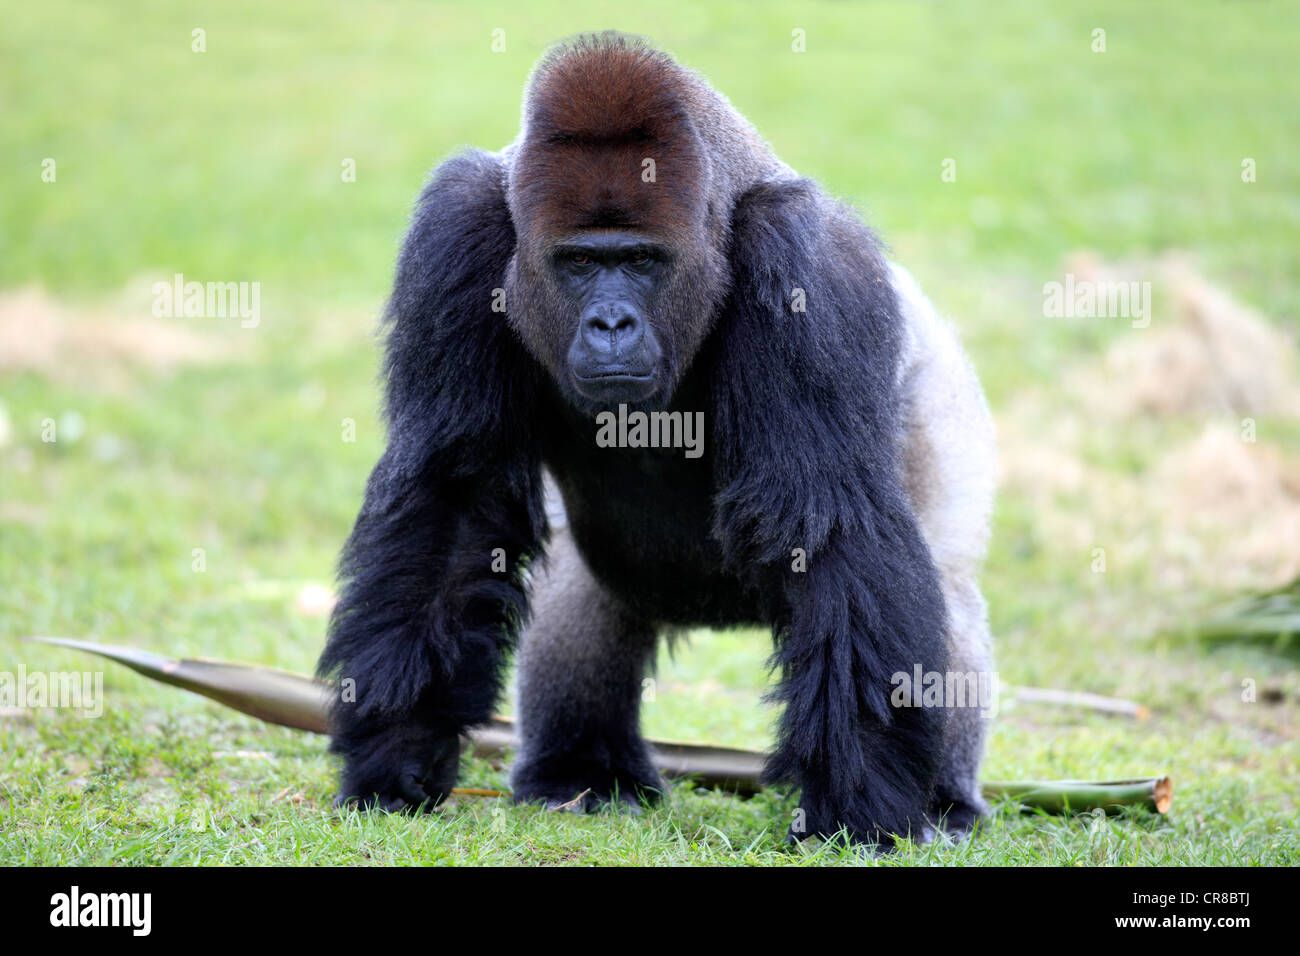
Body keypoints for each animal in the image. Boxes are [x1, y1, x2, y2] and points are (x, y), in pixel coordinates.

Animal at [317, 32, 996, 850]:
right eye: (581, 261)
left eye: (640, 260)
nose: (611, 324)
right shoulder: (459, 224)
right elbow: (455, 490)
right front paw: (400, 747)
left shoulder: (810, 258)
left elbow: (831, 521)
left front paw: (859, 806)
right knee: (578, 586)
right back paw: (582, 773)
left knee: (949, 592)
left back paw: (947, 801)